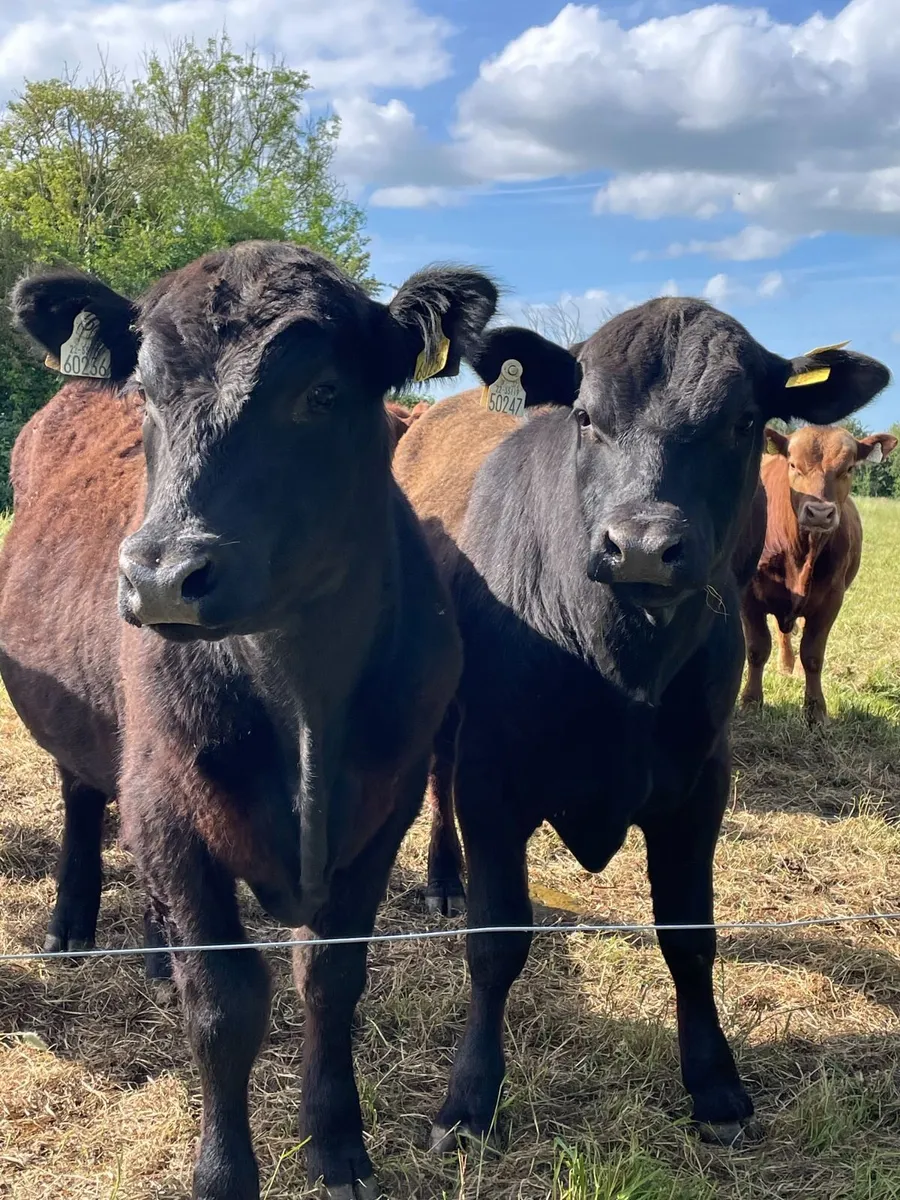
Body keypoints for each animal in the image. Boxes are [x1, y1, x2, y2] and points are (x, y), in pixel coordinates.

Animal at [1, 241, 499, 1200]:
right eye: (146, 392)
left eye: (324, 392)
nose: (162, 577)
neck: (302, 705)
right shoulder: (168, 803)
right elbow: (225, 1005)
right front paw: (225, 1173)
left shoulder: (383, 810)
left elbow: (330, 977)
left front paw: (337, 1143)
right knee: (82, 794)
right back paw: (73, 926)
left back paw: (152, 951)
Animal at [740, 423, 897, 724]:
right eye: (793, 465)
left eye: (848, 468)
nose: (820, 513)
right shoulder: (748, 595)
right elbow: (756, 649)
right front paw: (751, 702)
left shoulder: (830, 600)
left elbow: (813, 655)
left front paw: (816, 711)